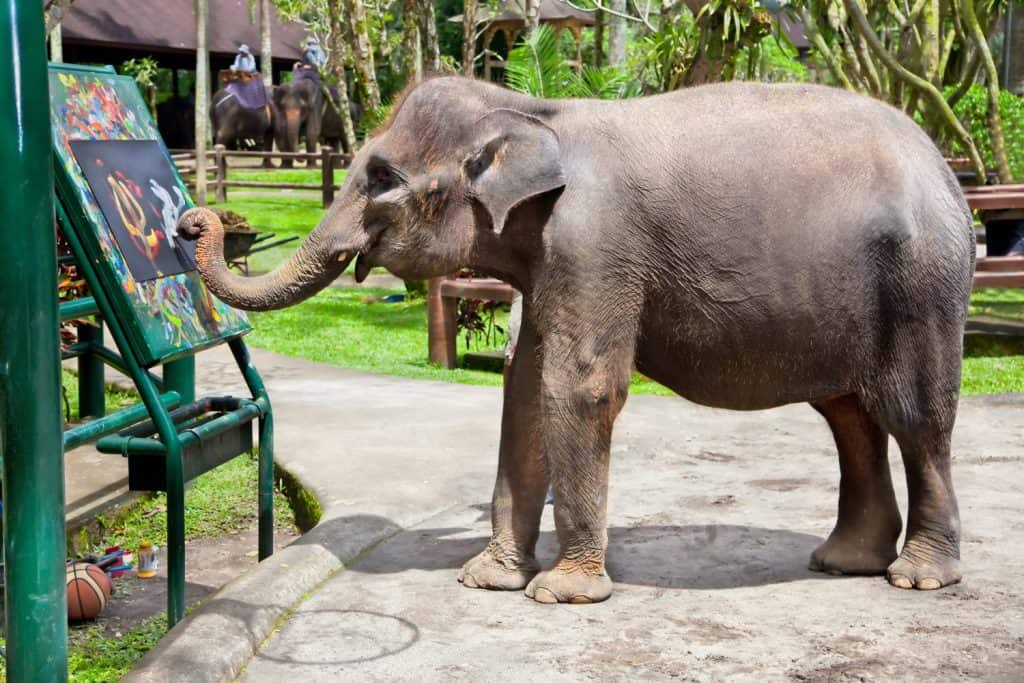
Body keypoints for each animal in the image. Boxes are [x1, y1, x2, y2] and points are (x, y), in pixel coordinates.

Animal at [178, 77, 975, 604]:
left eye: (378, 178)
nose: (194, 221)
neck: (532, 110)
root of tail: (945, 165)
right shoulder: (551, 260)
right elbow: (524, 389)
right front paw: (489, 578)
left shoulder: (595, 241)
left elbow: (580, 387)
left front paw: (561, 593)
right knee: (848, 415)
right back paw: (843, 562)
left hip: (922, 283)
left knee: (915, 418)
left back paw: (917, 577)